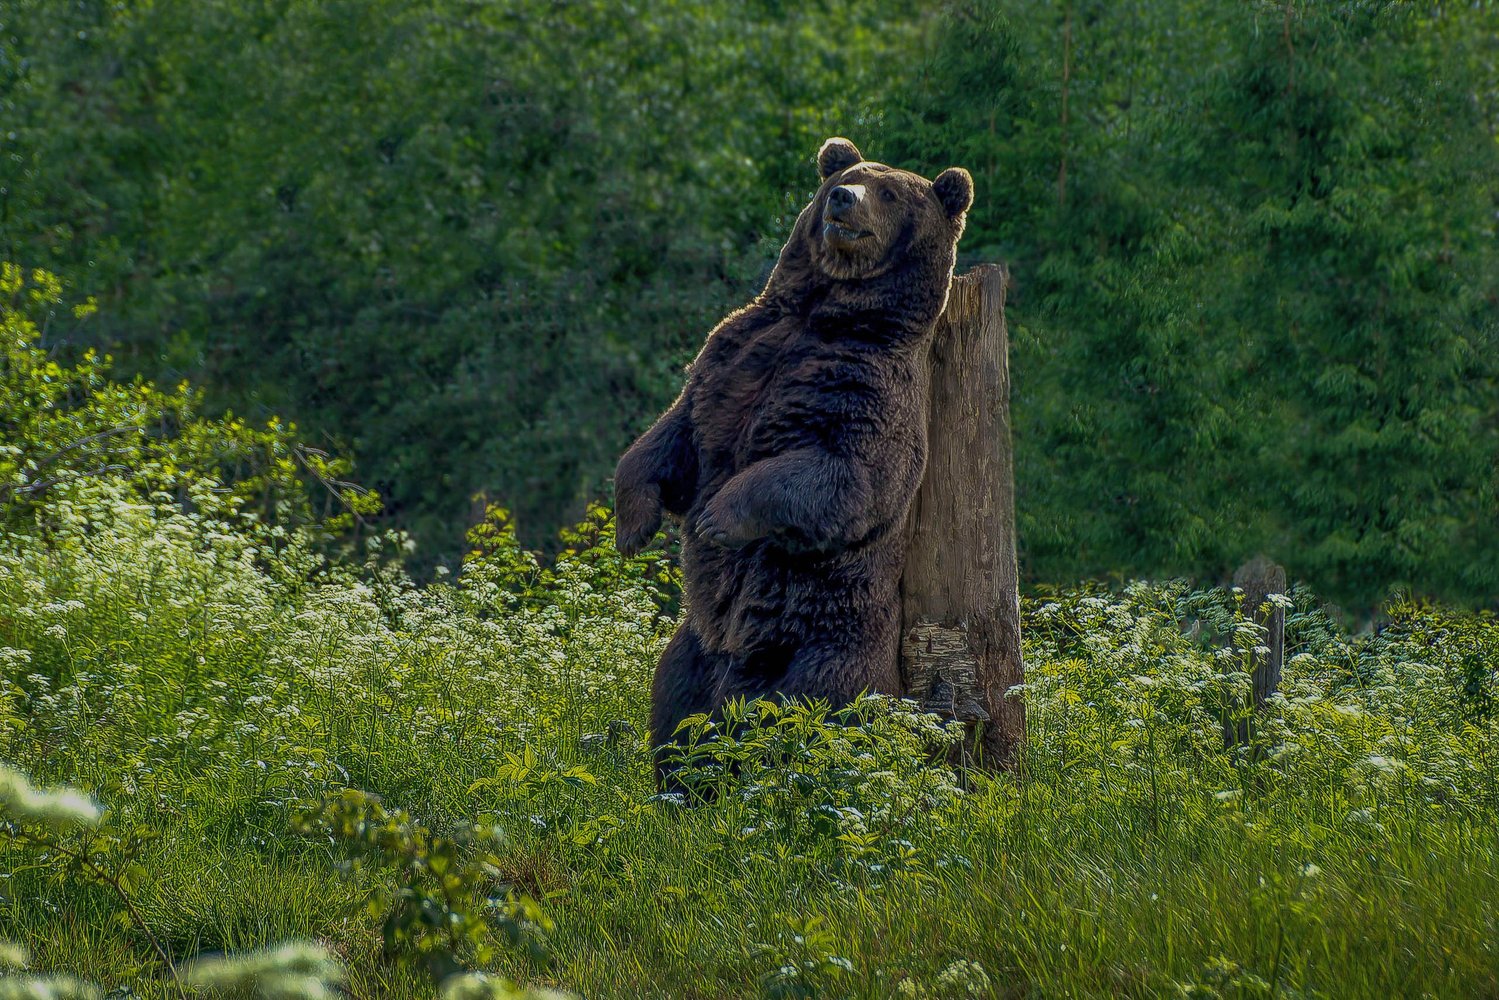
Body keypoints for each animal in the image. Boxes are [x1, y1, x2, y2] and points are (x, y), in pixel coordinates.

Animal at [611, 134, 971, 773]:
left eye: (890, 191)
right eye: (848, 176)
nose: (844, 199)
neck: (821, 313)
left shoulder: (862, 383)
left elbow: (845, 475)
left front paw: (718, 518)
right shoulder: (731, 357)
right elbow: (672, 438)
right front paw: (633, 527)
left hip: (824, 646)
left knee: (821, 717)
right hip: (694, 648)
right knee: (673, 712)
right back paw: (680, 780)